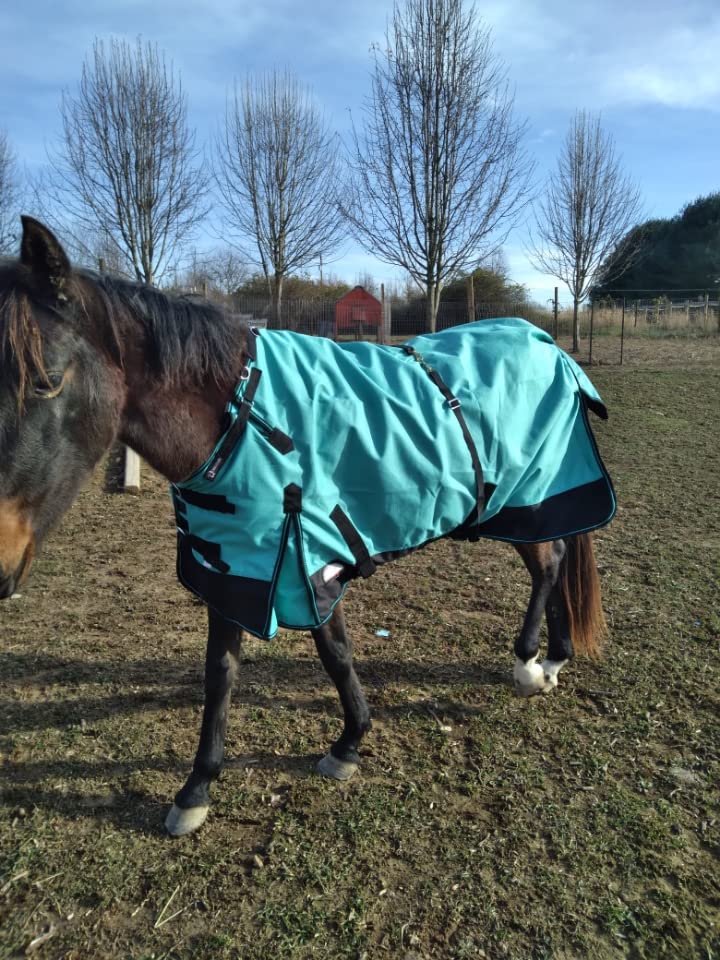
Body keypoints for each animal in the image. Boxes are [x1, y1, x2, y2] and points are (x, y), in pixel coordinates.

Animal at [0, 218, 614, 837]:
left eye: (47, 381)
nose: (0, 564)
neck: (239, 417)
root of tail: (545, 343)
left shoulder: (312, 556)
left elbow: (333, 651)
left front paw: (348, 744)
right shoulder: (235, 568)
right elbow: (222, 671)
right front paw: (197, 789)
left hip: (532, 499)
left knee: (550, 565)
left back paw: (530, 665)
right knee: (556, 562)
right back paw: (554, 659)